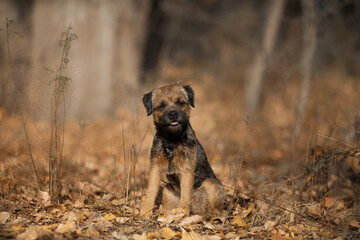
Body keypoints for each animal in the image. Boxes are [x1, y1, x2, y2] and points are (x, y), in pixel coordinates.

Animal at [140, 83, 226, 218]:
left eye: (180, 103)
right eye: (161, 106)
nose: (173, 113)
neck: (172, 139)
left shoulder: (186, 168)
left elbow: (186, 192)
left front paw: (182, 211)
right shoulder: (155, 168)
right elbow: (151, 191)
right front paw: (146, 211)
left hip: (211, 184)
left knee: (215, 210)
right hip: (167, 189)